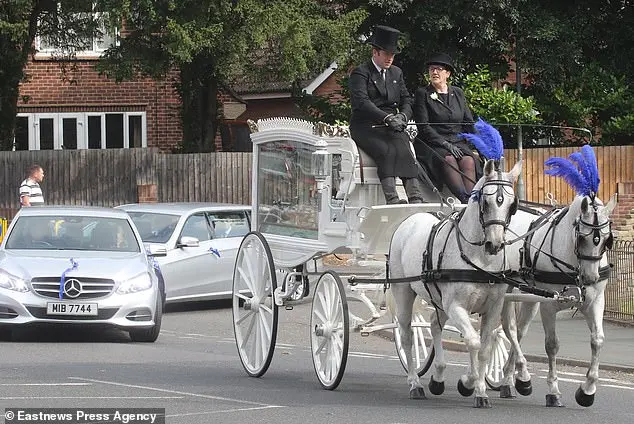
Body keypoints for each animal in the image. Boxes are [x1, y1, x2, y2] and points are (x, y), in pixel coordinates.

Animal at [390, 158, 520, 408]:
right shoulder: (456, 306)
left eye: (512, 205)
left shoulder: (493, 308)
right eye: (486, 201)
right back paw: (415, 384)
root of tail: (410, 219)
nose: (494, 245)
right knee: (407, 336)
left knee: (434, 324)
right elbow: (473, 341)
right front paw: (468, 382)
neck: (480, 259)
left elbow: (485, 349)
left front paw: (480, 391)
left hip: (438, 299)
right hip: (403, 291)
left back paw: (438, 377)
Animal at [498, 147, 612, 408]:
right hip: (505, 290)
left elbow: (597, 340)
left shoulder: (594, 301)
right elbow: (552, 345)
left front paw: (587, 390)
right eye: (582, 237)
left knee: (519, 331)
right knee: (510, 329)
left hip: (527, 296)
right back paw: (522, 377)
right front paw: (553, 391)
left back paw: (510, 381)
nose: (590, 278)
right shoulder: (548, 304)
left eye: (607, 239)